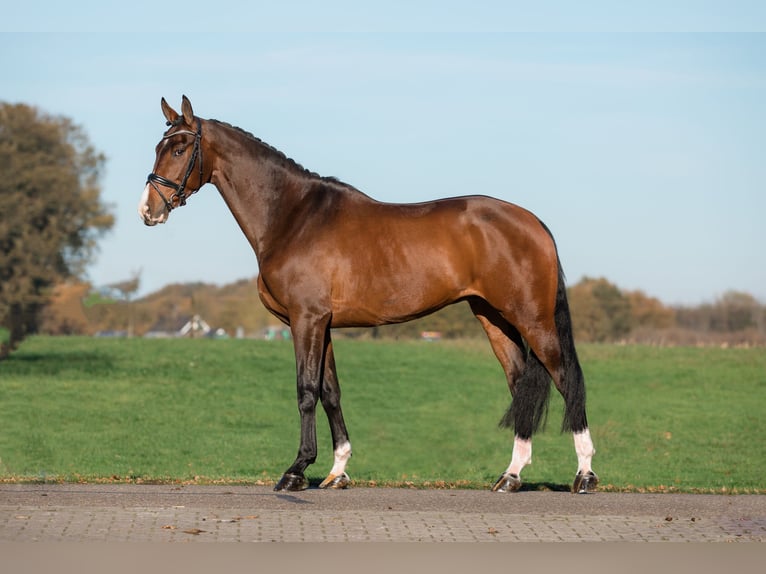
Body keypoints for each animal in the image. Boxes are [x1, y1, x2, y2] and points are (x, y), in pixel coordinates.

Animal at [139, 96, 598, 494]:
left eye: (179, 148)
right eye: (159, 146)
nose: (149, 210)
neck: (293, 216)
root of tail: (533, 222)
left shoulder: (306, 319)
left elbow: (306, 390)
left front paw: (296, 471)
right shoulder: (321, 324)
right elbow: (330, 392)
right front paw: (337, 470)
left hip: (532, 318)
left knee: (566, 379)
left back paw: (584, 475)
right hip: (494, 317)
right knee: (520, 383)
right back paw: (511, 476)